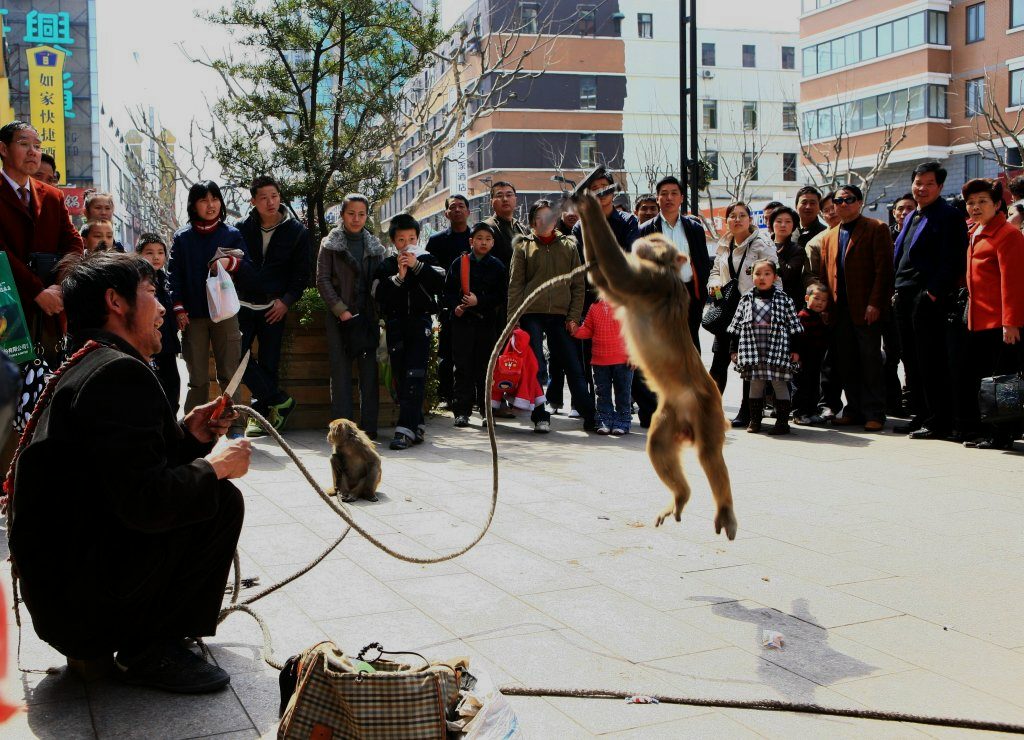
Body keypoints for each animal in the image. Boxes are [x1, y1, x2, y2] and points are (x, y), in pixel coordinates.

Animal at [577, 191, 737, 540]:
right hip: (671, 414)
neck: (667, 272)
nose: (645, 238)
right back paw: (681, 497)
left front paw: (589, 203)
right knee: (659, 448)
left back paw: (726, 510)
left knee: (710, 456)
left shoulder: (653, 282)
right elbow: (602, 278)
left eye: (656, 240)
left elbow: (617, 272)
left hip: (707, 410)